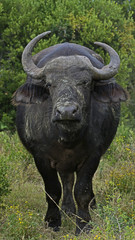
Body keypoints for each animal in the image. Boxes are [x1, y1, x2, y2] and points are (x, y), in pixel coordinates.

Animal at [12, 31, 126, 234]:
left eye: (86, 82)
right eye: (50, 84)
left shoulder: (93, 156)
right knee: (66, 180)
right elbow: (53, 190)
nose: (66, 111)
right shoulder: (41, 157)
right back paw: (66, 209)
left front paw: (84, 224)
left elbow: (82, 190)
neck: (67, 136)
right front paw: (52, 222)